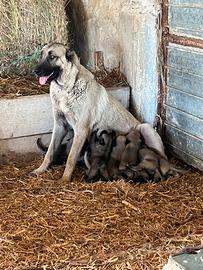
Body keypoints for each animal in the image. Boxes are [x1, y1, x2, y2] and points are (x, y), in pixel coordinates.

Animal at [31, 42, 165, 181]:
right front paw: (41, 169)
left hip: (146, 128)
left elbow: (71, 158)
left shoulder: (81, 130)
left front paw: (65, 179)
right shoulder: (60, 126)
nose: (35, 71)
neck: (66, 87)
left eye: (52, 57)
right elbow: (49, 152)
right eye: (41, 55)